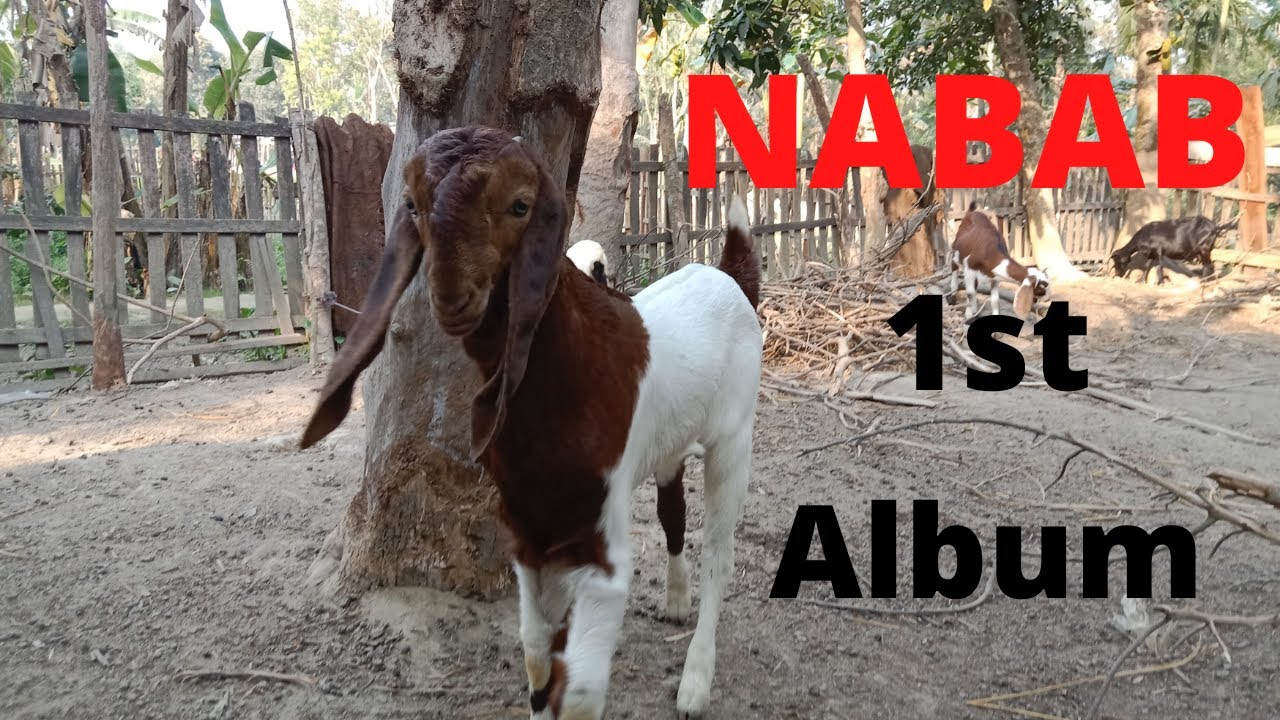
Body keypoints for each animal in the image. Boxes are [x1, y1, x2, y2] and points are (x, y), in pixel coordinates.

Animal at [299, 127, 762, 720]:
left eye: (520, 205)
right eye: (414, 205)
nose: (451, 295)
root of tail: (729, 278)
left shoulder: (599, 540)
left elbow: (582, 688)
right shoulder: (526, 525)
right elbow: (537, 651)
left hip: (734, 437)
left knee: (720, 553)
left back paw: (695, 682)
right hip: (668, 446)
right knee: (673, 510)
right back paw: (677, 603)